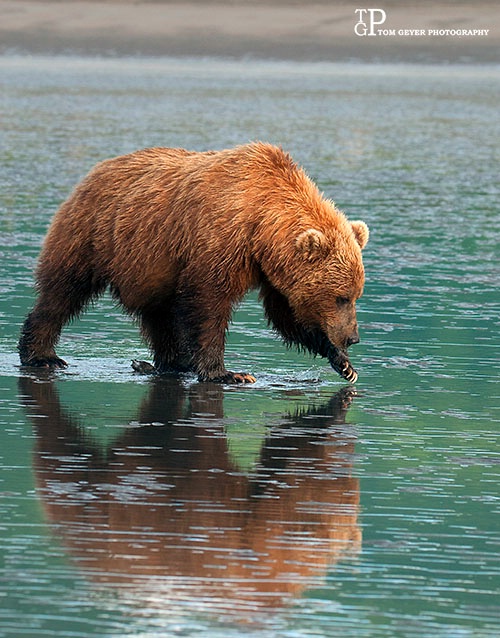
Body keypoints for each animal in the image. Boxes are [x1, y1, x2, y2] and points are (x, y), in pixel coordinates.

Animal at [18, 144, 368, 384]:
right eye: (341, 297)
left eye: (355, 295)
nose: (353, 337)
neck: (262, 223)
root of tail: (93, 172)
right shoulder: (220, 240)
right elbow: (208, 305)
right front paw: (227, 373)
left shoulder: (273, 271)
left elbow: (287, 316)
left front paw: (344, 363)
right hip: (92, 235)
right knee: (63, 292)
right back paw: (42, 355)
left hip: (151, 264)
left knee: (158, 314)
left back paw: (174, 362)